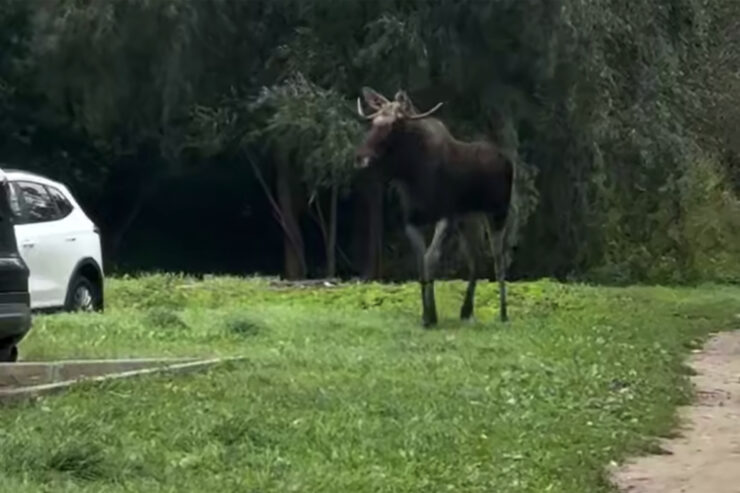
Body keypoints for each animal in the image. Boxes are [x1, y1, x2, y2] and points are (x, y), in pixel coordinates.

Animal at [354, 87, 514, 327]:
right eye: (373, 123)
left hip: (497, 212)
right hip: (469, 218)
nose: (362, 158)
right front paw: (428, 314)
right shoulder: (412, 220)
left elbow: (431, 259)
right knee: (475, 257)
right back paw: (466, 310)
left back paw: (503, 313)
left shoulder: (446, 217)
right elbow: (422, 264)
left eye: (395, 125)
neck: (414, 174)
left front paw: (431, 315)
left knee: (498, 258)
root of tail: (508, 161)